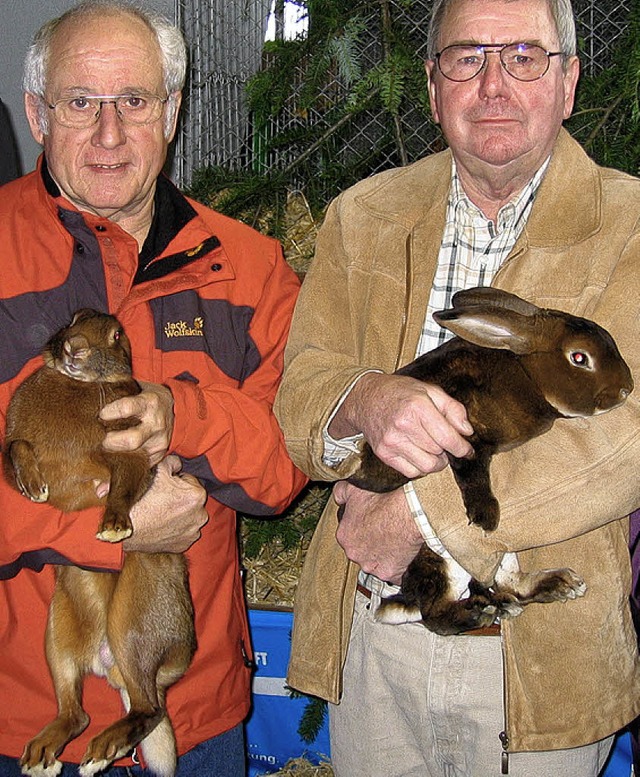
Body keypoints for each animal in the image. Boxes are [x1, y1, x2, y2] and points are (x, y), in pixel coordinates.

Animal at [3, 310, 195, 776]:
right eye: (72, 319)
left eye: (116, 334)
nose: (74, 347)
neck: (83, 384)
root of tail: (108, 665)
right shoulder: (12, 446)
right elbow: (18, 447)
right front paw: (35, 487)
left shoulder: (130, 452)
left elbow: (123, 487)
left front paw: (113, 529)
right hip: (57, 638)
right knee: (76, 713)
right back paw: (44, 757)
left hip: (133, 625)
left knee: (148, 709)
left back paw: (100, 752)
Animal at [348, 288, 632, 632]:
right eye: (579, 358)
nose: (626, 389)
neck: (527, 374)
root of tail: (404, 598)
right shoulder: (462, 434)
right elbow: (471, 472)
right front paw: (485, 515)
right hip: (444, 561)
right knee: (435, 613)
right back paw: (481, 612)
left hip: (494, 556)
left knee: (510, 585)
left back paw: (551, 589)